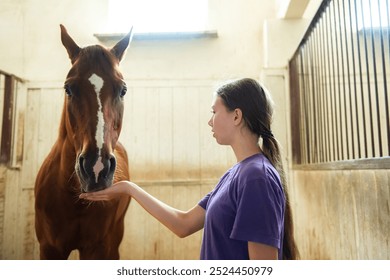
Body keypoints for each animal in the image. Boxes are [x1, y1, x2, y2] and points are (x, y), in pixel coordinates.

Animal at [32, 25, 133, 260]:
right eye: (68, 88)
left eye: (122, 90)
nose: (96, 168)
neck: (73, 199)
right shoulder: (50, 249)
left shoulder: (97, 249)